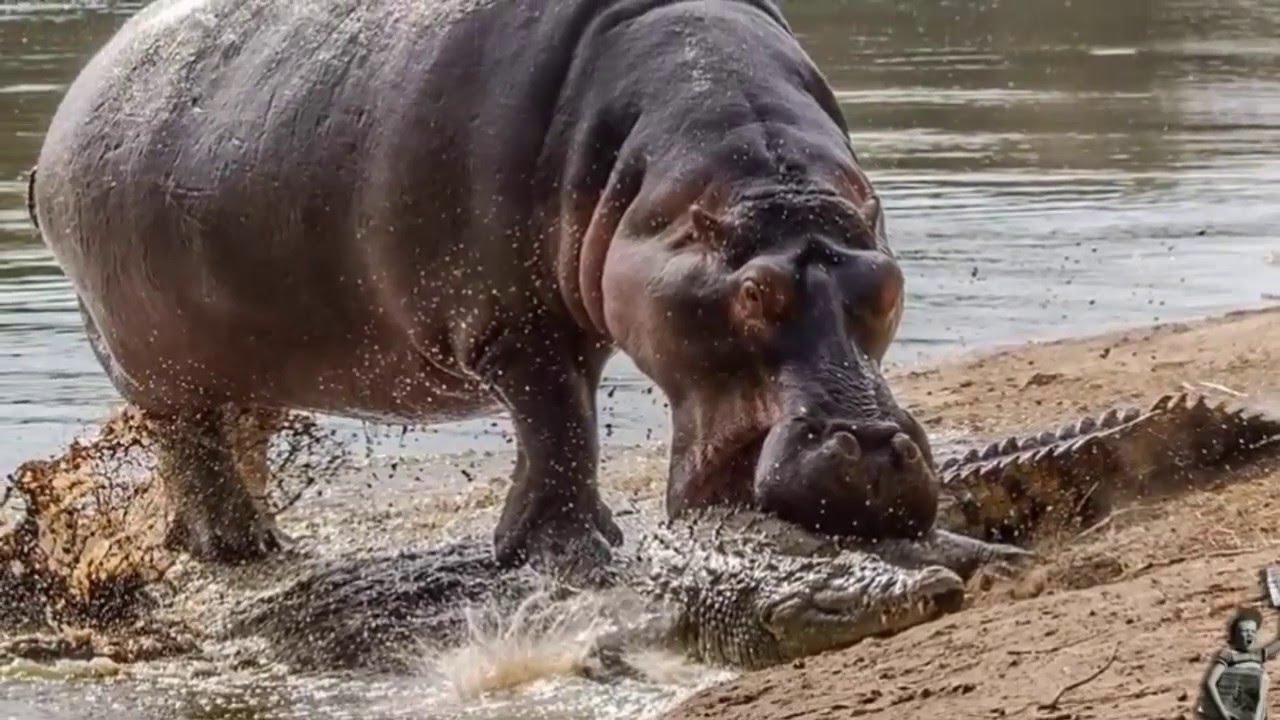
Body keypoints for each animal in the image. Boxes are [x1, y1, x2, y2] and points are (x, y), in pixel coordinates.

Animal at [24, 0, 936, 573]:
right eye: (755, 295)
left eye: (888, 288)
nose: (873, 448)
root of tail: (65, 118)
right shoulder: (514, 324)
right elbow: (560, 430)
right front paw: (568, 553)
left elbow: (577, 428)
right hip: (154, 363)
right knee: (191, 445)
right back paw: (237, 547)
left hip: (241, 355)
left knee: (231, 437)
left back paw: (241, 541)